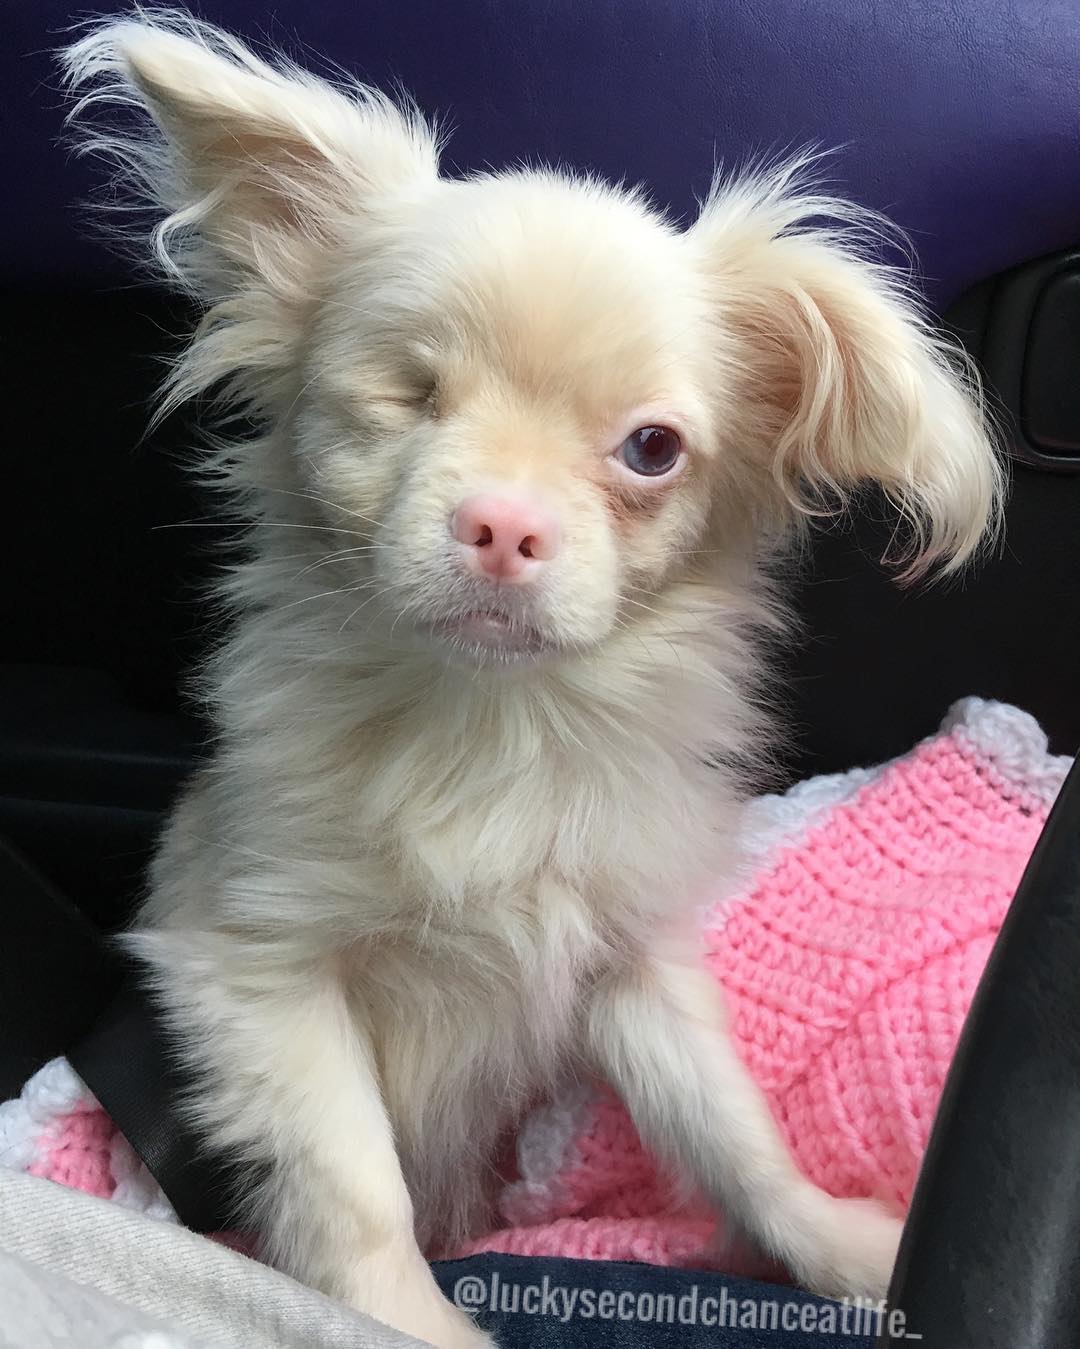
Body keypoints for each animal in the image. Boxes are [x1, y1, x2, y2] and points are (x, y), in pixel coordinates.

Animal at [63, 13, 997, 1349]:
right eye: (409, 394)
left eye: (651, 449)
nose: (503, 523)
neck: (491, 724)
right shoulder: (256, 969)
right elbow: (353, 1184)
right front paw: (407, 1322)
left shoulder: (630, 967)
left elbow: (731, 1128)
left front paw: (841, 1244)